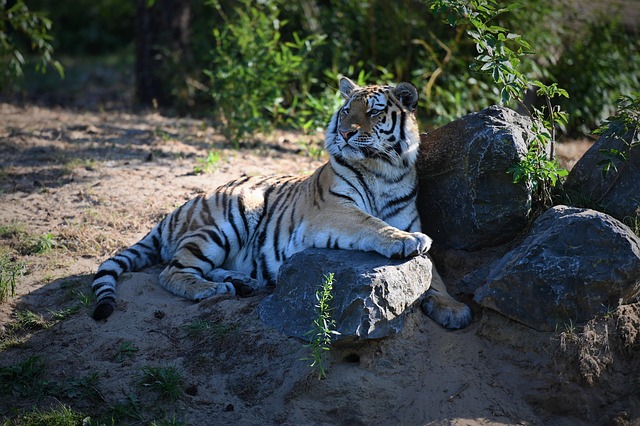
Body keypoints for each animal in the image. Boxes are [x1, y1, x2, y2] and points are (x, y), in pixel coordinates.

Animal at [91, 77, 472, 330]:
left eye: (374, 112)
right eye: (346, 110)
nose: (345, 132)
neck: (383, 169)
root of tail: (175, 210)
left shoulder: (407, 216)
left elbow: (435, 274)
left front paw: (454, 308)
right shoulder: (335, 209)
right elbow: (373, 224)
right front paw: (405, 243)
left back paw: (242, 282)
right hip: (228, 220)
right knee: (171, 271)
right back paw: (211, 289)